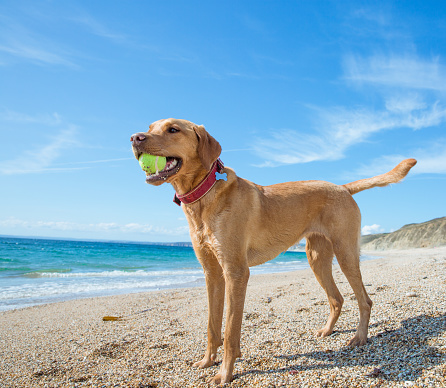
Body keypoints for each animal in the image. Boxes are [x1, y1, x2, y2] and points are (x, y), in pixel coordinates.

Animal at [131, 119, 416, 384]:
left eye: (173, 129)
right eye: (150, 127)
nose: (135, 137)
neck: (205, 195)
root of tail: (343, 187)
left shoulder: (236, 273)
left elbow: (230, 331)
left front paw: (225, 373)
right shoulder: (212, 274)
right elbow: (213, 327)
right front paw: (207, 361)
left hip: (345, 253)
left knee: (364, 300)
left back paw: (359, 337)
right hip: (316, 258)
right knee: (337, 299)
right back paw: (327, 331)